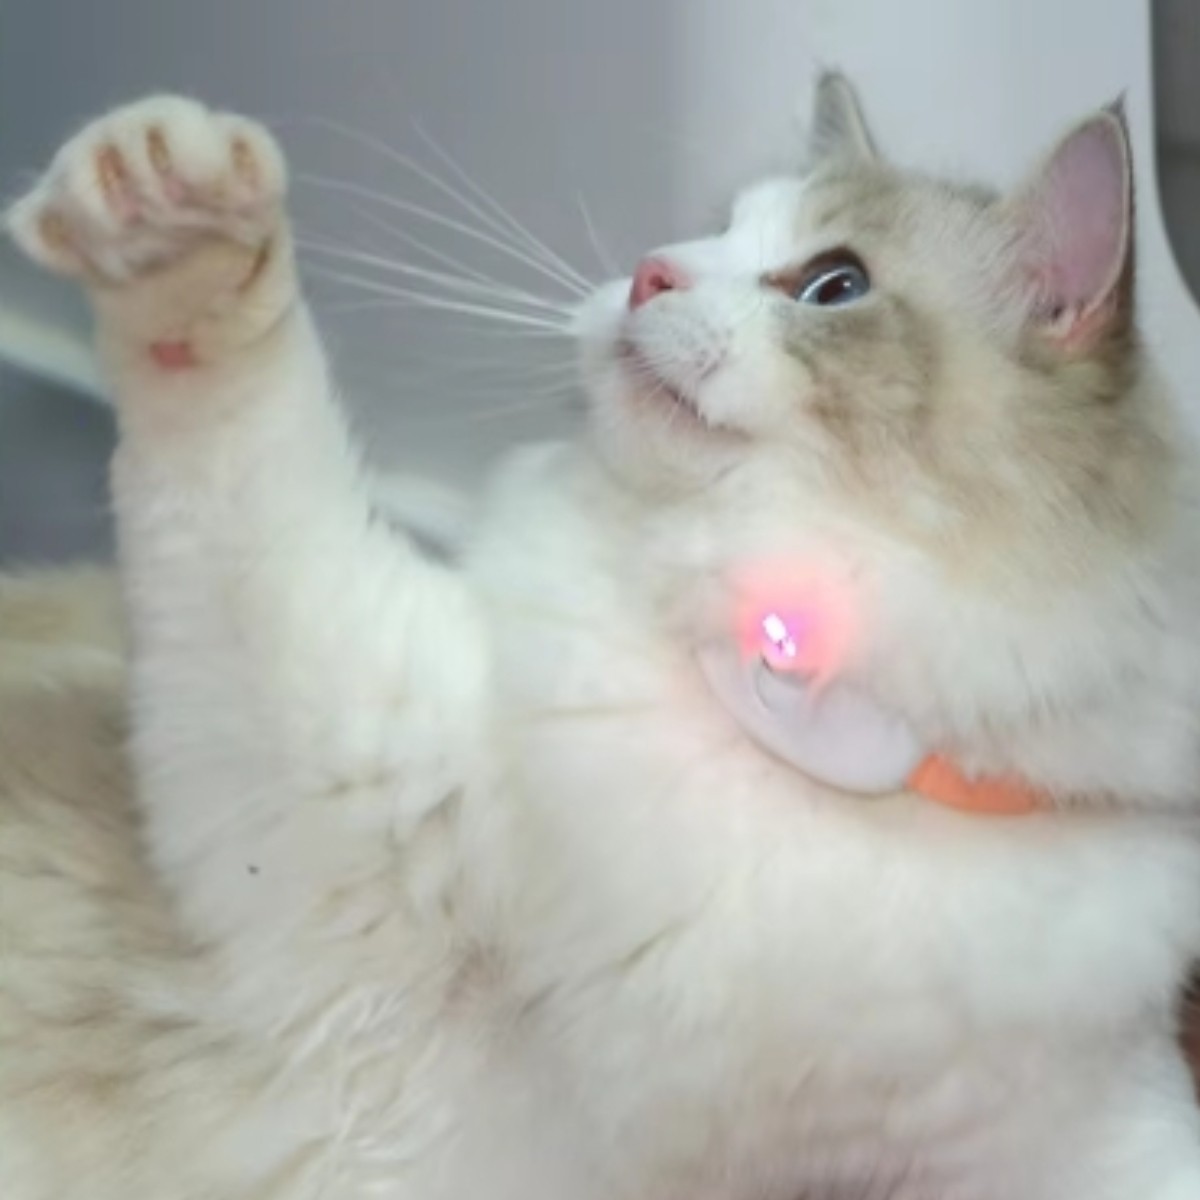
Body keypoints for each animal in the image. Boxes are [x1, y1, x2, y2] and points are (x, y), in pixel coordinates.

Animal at [4, 73, 1200, 1200]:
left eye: (834, 285)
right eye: (715, 230)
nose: (648, 271)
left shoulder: (1086, 1129)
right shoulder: (326, 772)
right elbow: (242, 428)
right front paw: (170, 214)